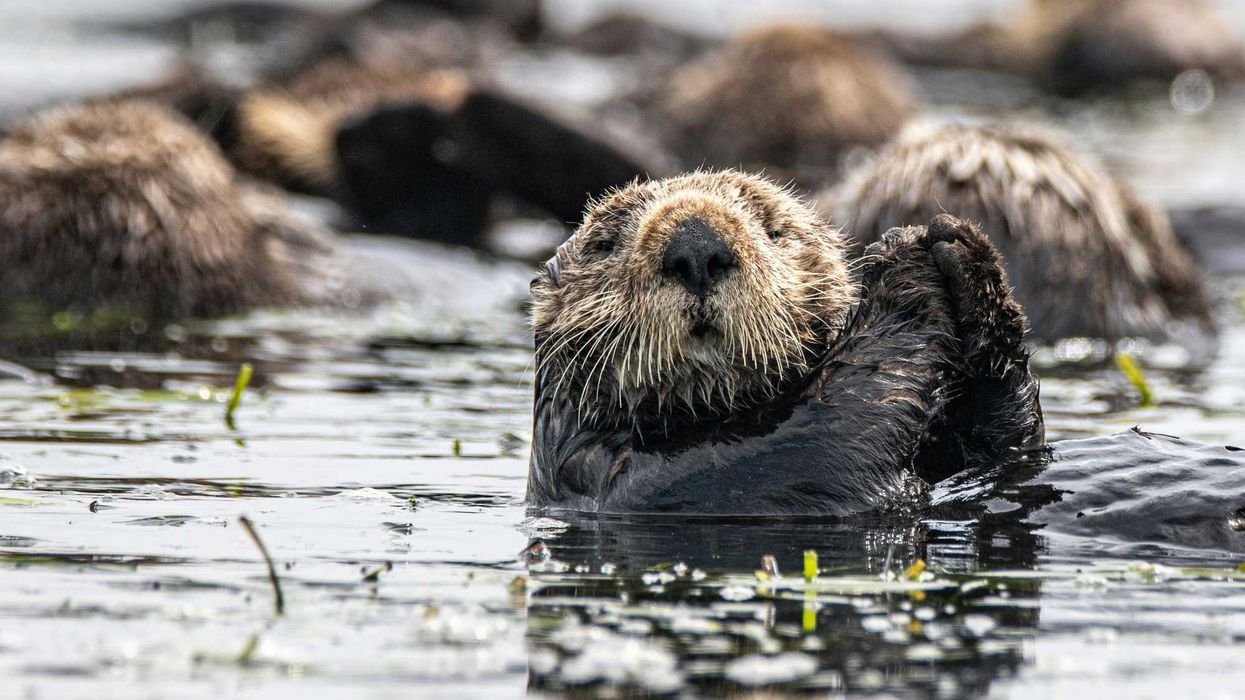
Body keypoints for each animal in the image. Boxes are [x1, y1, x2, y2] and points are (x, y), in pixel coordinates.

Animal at [527, 171, 1042, 515]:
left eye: (773, 230)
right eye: (605, 244)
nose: (695, 245)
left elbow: (1011, 453)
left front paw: (965, 252)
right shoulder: (627, 477)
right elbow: (820, 436)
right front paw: (901, 264)